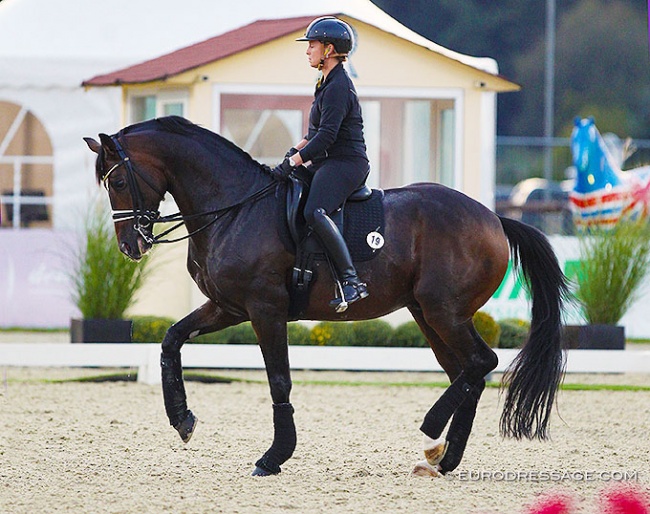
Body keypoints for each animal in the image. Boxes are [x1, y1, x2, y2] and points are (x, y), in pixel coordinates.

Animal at [83, 116, 564, 476]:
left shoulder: (265, 309)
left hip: (445, 312)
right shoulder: (227, 307)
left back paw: (432, 432)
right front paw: (182, 420)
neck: (235, 208)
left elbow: (279, 379)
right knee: (467, 373)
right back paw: (442, 457)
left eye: (118, 182)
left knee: (482, 362)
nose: (131, 246)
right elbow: (171, 340)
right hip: (430, 316)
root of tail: (495, 219)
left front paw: (273, 457)